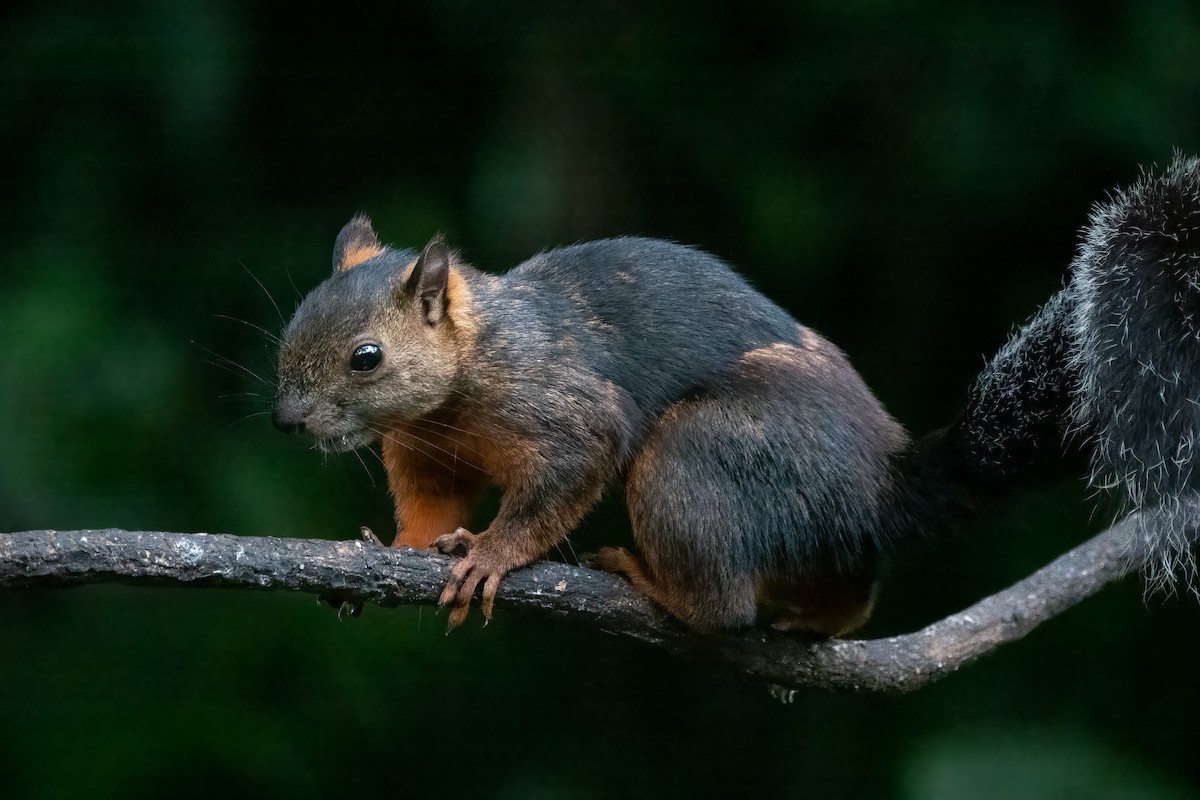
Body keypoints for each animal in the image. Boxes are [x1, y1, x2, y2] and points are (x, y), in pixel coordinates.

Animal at [271, 152, 1200, 633]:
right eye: (290, 327)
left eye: (366, 357)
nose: (284, 421)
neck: (459, 385)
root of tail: (880, 490)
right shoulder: (426, 453)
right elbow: (429, 506)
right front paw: (390, 550)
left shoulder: (562, 404)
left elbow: (561, 477)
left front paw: (489, 555)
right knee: (848, 593)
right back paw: (817, 618)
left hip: (698, 456)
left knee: (720, 607)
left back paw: (652, 582)